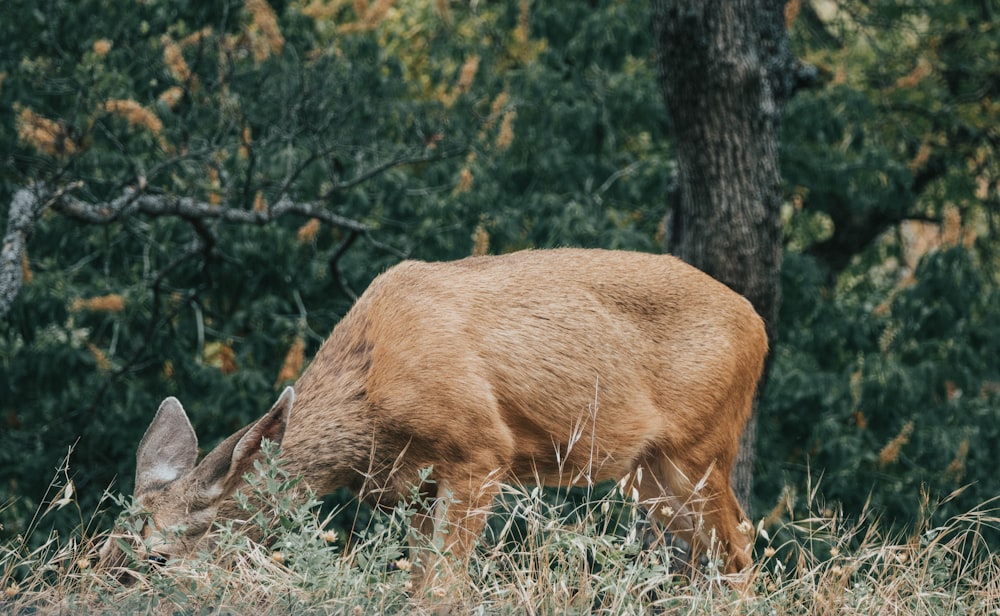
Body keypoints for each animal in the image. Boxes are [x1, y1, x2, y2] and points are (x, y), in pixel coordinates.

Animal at [97, 248, 768, 600]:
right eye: (103, 545)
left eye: (155, 559)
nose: (94, 595)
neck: (370, 397)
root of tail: (758, 325)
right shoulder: (413, 488)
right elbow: (422, 582)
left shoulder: (481, 451)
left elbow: (442, 590)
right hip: (645, 473)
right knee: (715, 547)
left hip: (699, 447)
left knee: (738, 542)